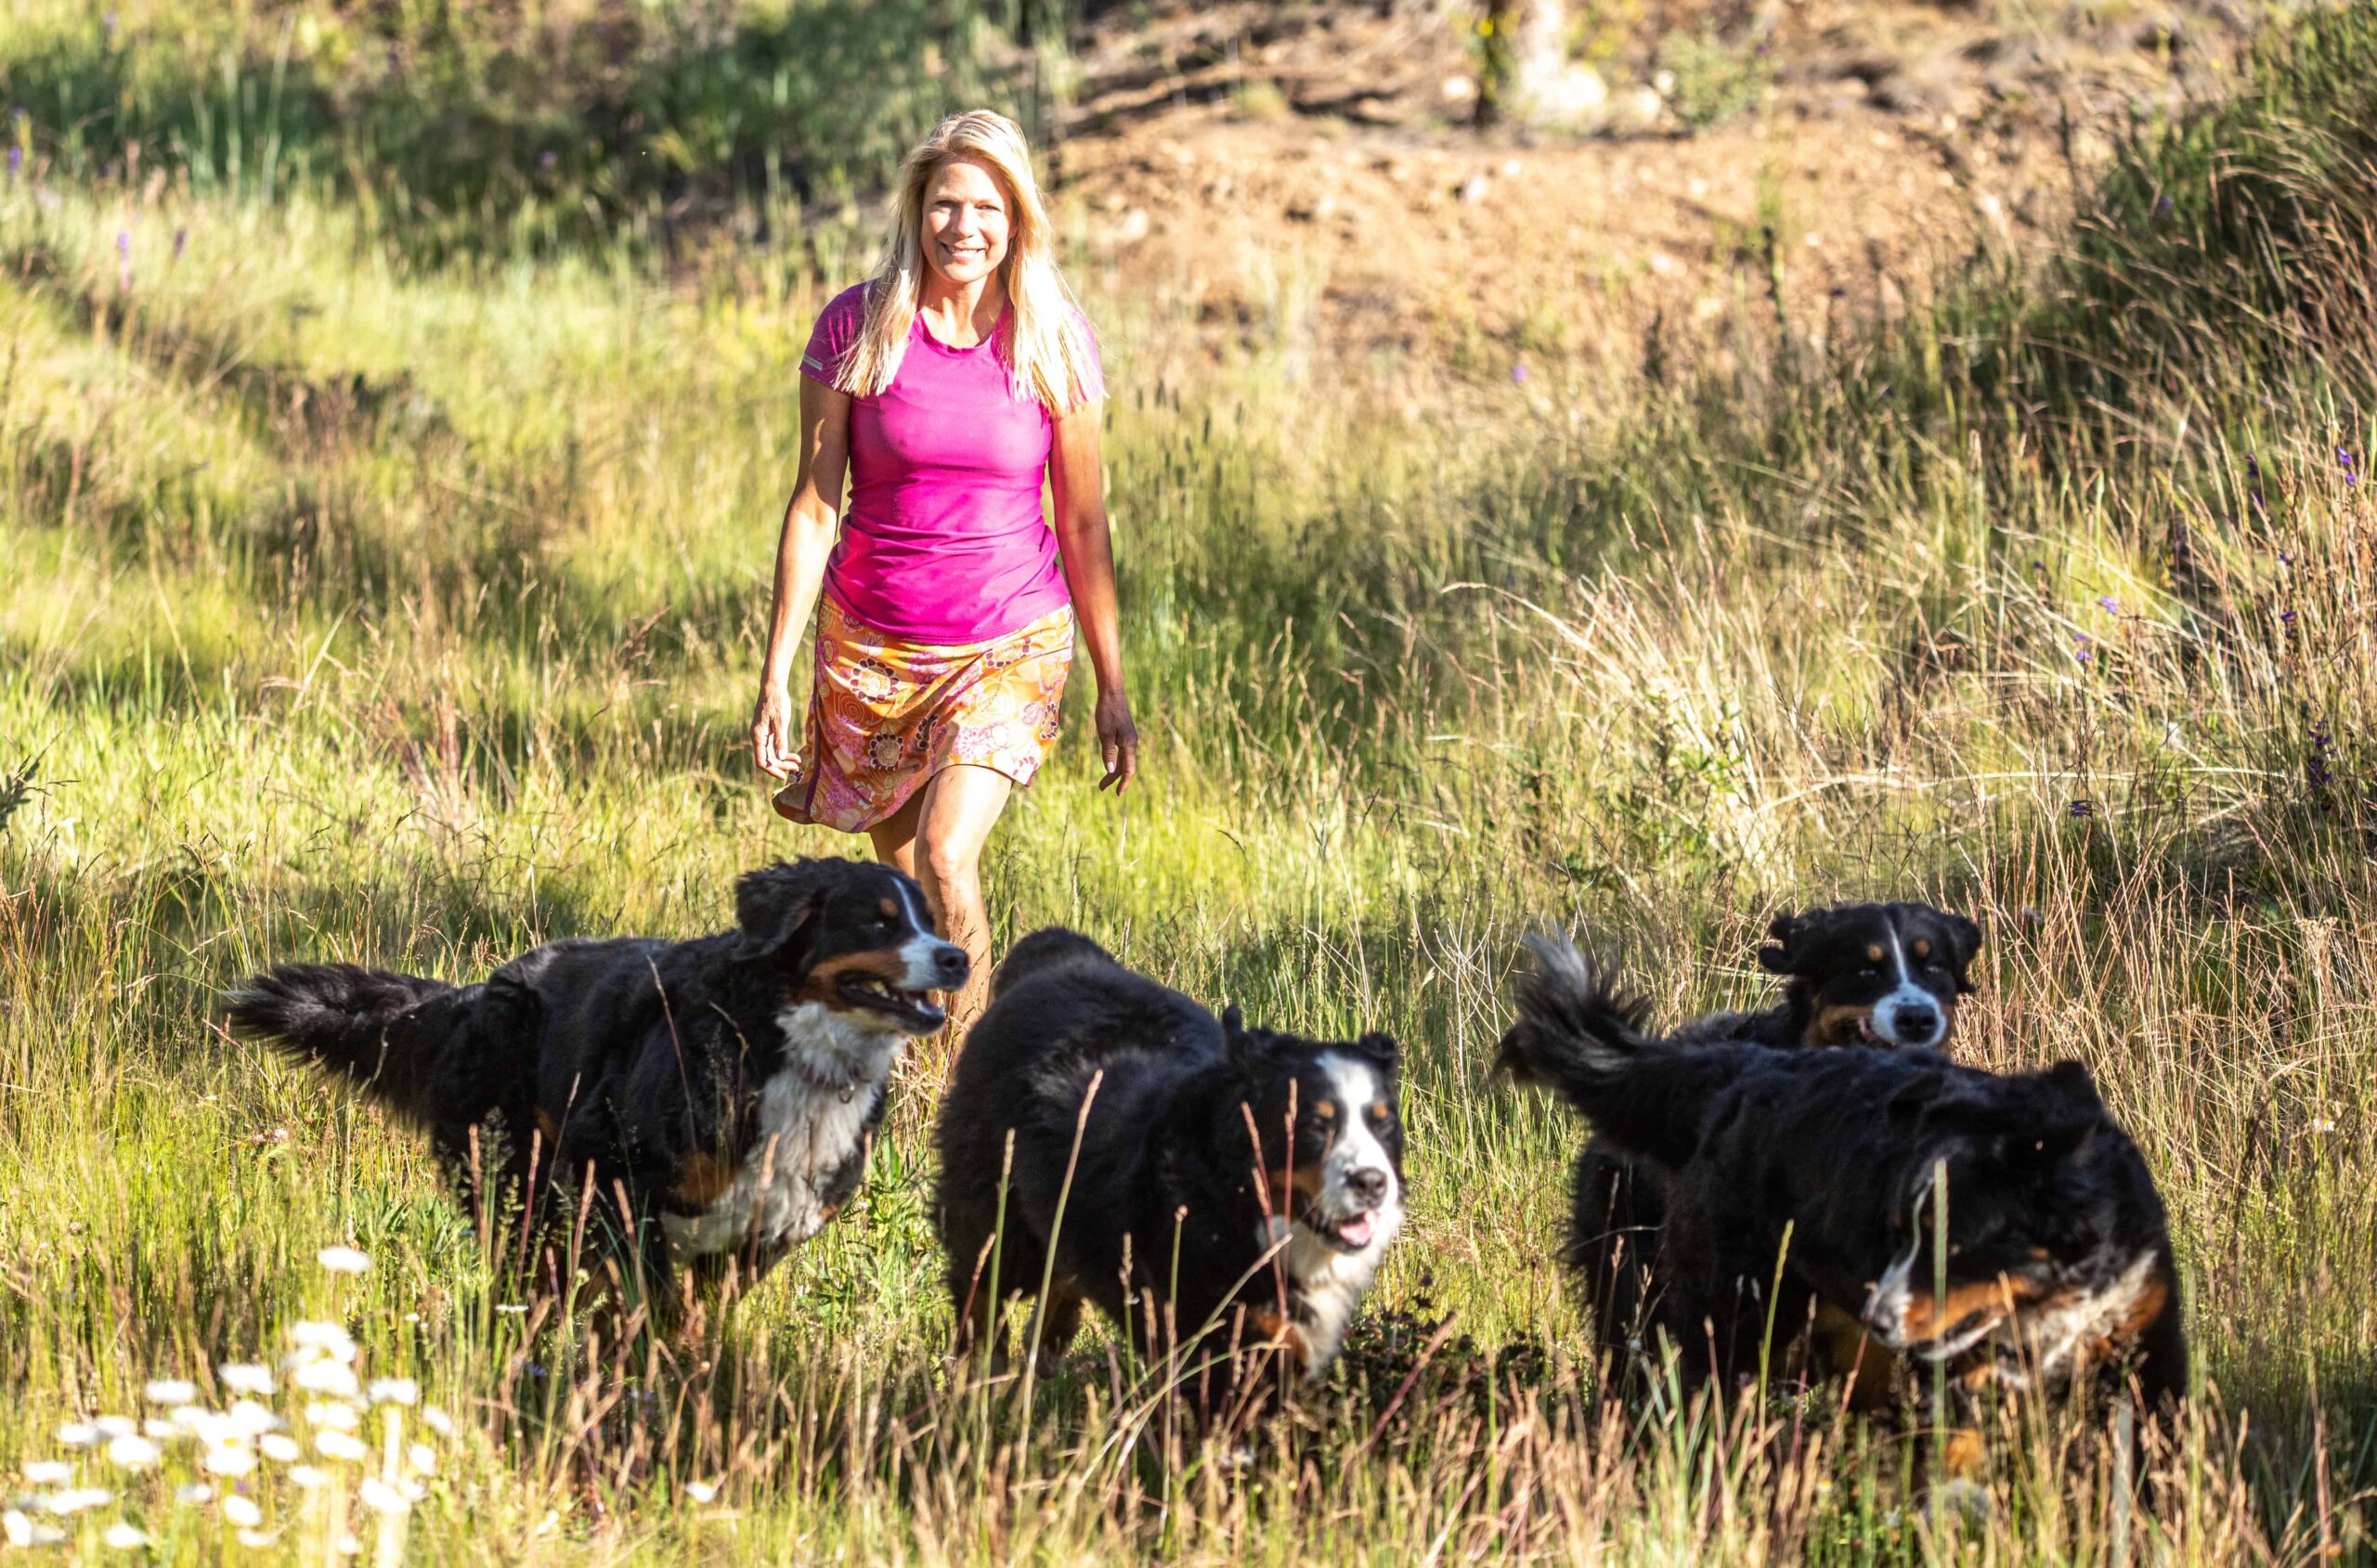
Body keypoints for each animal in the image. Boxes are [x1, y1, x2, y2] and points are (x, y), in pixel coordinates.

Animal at [224, 855, 965, 1311]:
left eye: (927, 920)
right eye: (877, 919)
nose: (956, 957)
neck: (780, 1043)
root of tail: (474, 994)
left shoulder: (759, 1232)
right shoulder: (614, 1170)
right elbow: (653, 1305)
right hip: (516, 1181)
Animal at [931, 927, 1407, 1387]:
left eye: (1381, 1124)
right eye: (1313, 1126)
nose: (1372, 1182)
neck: (1242, 1207)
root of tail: (1061, 952)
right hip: (996, 1218)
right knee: (982, 1296)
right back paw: (979, 1388)